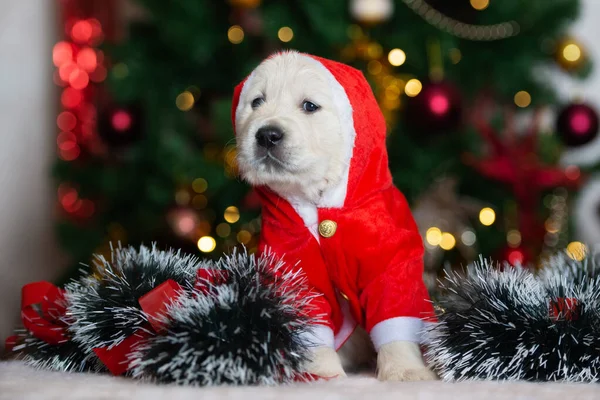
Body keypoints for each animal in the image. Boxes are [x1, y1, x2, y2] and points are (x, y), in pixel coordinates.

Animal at [233, 51, 436, 382]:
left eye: (309, 106)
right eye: (256, 102)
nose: (267, 135)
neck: (321, 205)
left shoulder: (391, 262)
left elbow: (395, 317)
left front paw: (405, 370)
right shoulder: (295, 268)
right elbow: (311, 322)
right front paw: (319, 375)